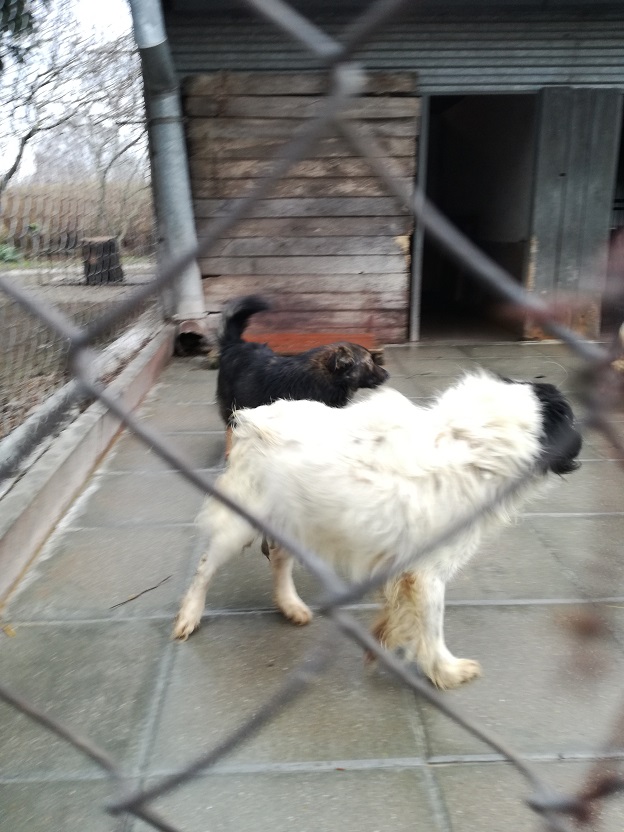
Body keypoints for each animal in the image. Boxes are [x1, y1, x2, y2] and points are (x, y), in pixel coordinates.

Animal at [173, 372, 582, 689]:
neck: (474, 441)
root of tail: (249, 419)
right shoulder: (427, 573)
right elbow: (432, 628)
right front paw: (446, 671)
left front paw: (387, 640)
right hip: (240, 523)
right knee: (205, 568)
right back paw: (190, 615)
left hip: (296, 519)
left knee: (278, 558)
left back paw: (290, 604)